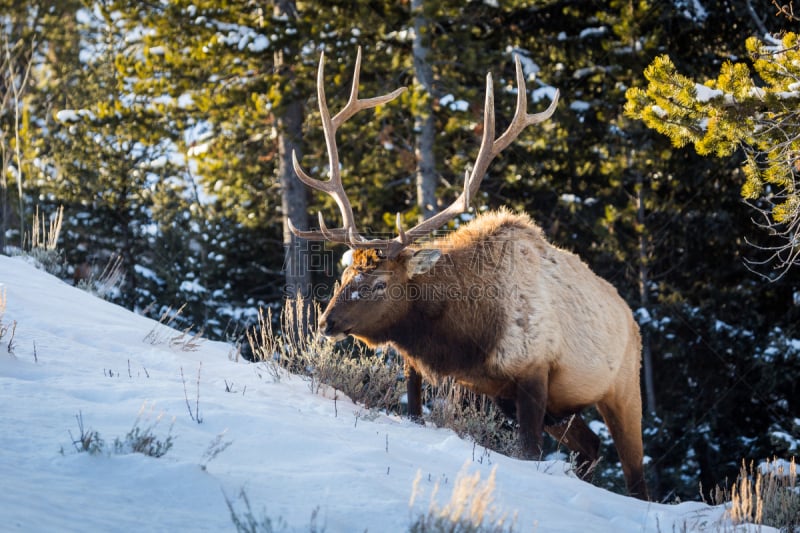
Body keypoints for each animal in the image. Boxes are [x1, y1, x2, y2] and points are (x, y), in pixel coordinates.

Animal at [290, 46, 648, 498]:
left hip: (622, 390)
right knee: (591, 447)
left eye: (379, 283)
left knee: (635, 474)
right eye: (343, 276)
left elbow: (527, 453)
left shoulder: (534, 373)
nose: (326, 321)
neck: (464, 333)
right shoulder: (453, 378)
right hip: (560, 407)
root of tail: (632, 321)